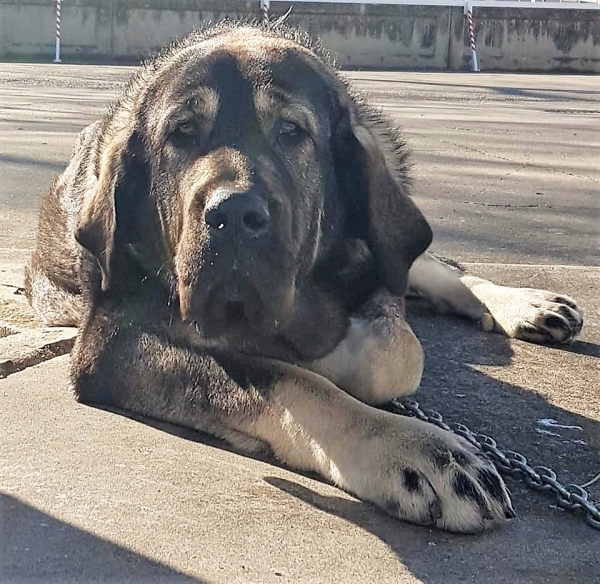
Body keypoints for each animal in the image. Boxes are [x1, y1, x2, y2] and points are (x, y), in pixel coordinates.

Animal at [25, 24, 584, 532]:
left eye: (291, 131)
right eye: (182, 132)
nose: (233, 215)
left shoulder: (369, 272)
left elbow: (396, 351)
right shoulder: (112, 341)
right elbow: (289, 380)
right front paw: (415, 449)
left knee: (431, 267)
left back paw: (529, 304)